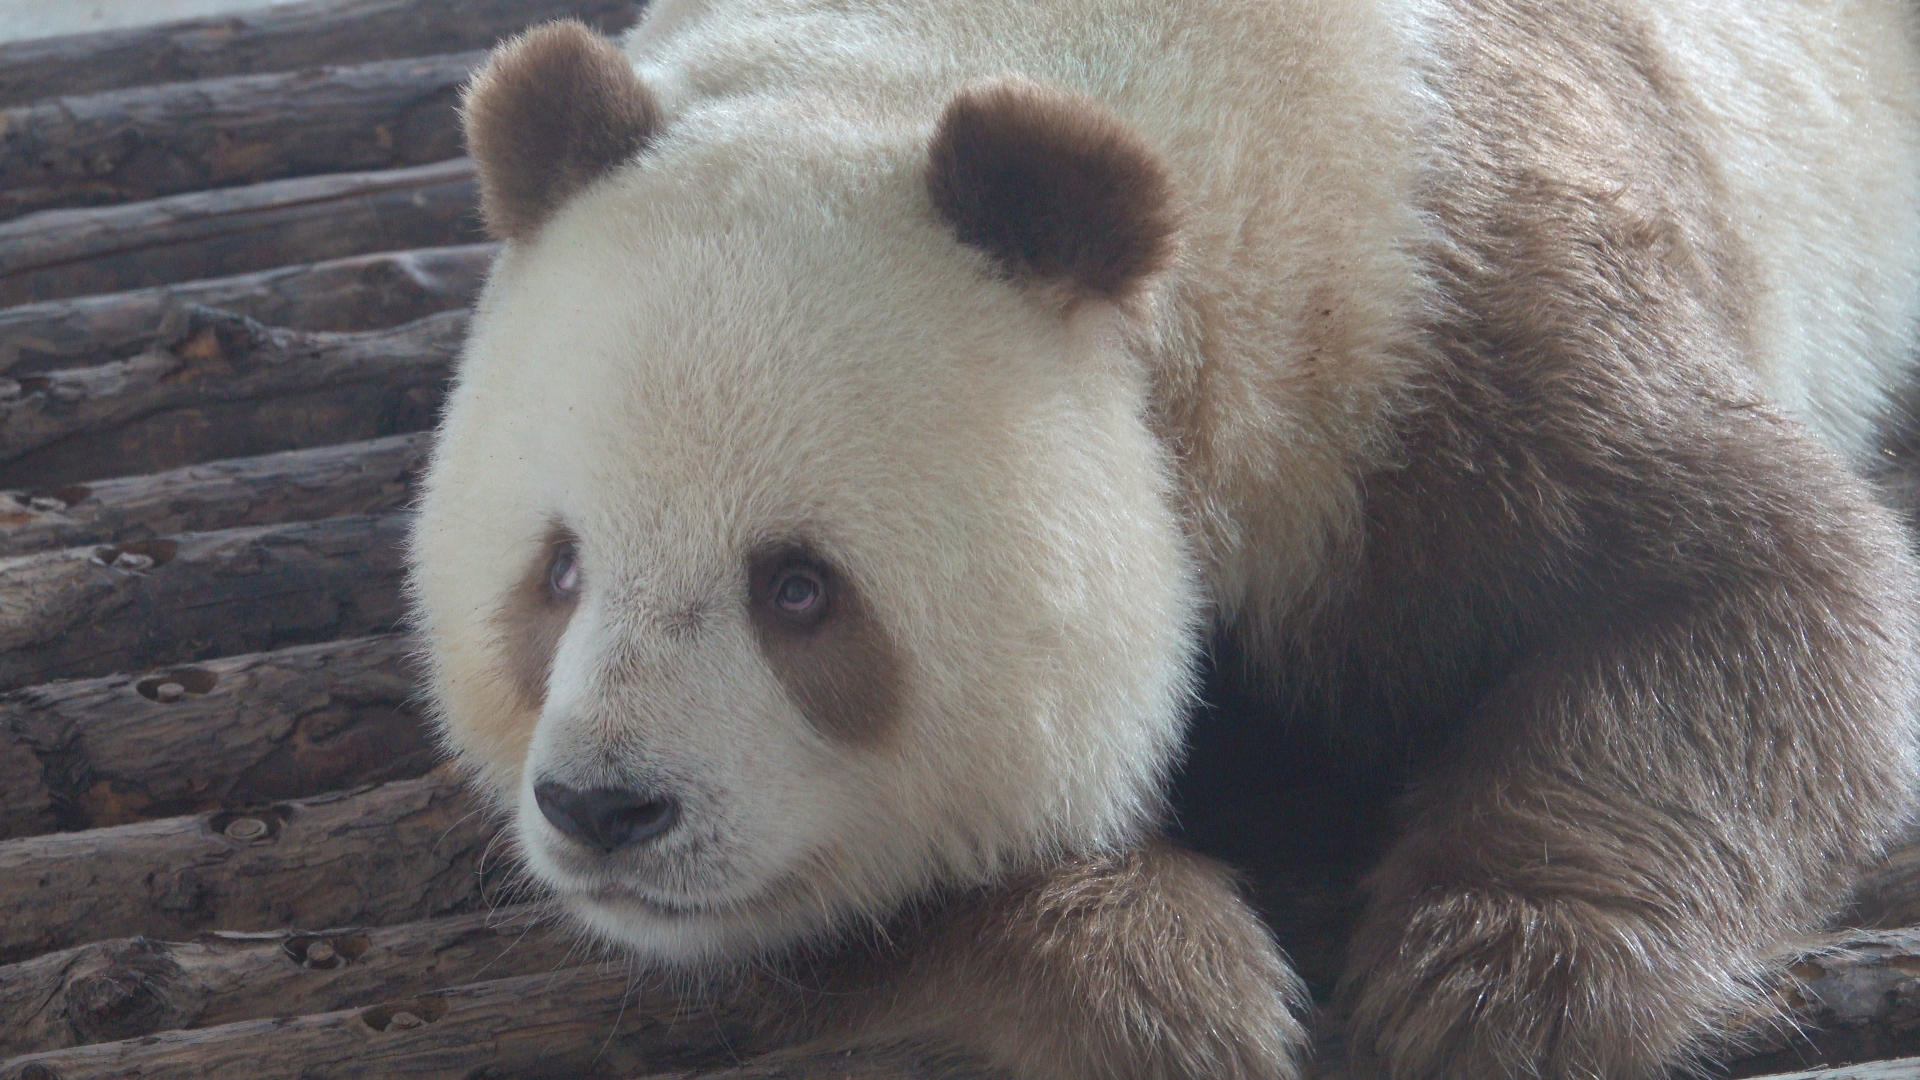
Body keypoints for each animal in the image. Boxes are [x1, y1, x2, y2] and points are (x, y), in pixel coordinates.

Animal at [412, 2, 1920, 1068]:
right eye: (557, 571)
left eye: (798, 588)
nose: (604, 807)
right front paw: (1154, 982)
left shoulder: (1444, 277)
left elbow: (1743, 583)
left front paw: (1499, 981)